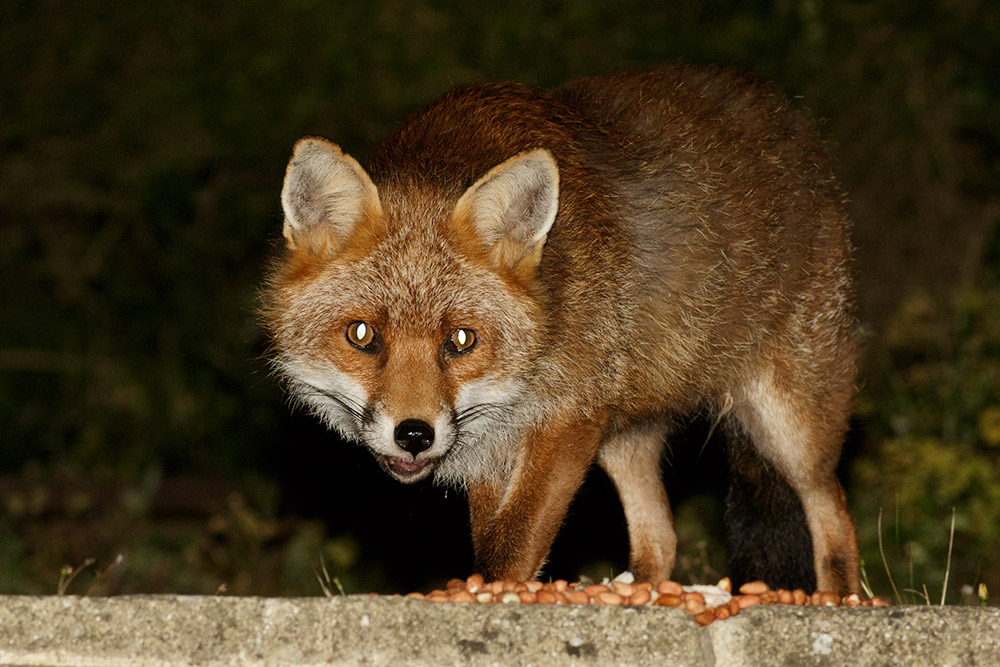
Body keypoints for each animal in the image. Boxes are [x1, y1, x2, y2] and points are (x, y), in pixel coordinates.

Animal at [263, 65, 862, 595]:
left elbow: (514, 541)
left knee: (833, 512)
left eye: (461, 340)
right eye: (362, 335)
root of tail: (793, 117)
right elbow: (491, 536)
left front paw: (493, 597)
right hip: (624, 437)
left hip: (789, 426)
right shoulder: (490, 445)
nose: (414, 435)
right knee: (661, 540)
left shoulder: (567, 418)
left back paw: (838, 601)